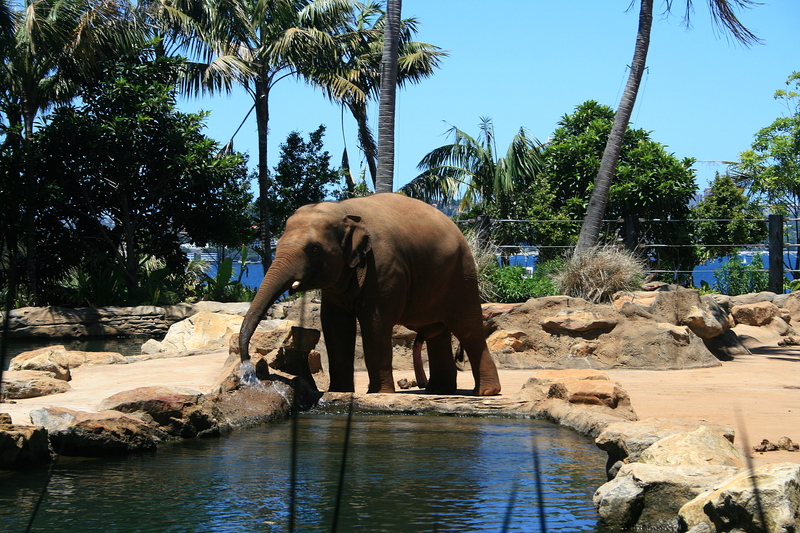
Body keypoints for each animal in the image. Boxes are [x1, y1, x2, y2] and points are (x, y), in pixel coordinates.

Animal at [238, 193, 501, 396]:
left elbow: (374, 323)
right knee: (437, 331)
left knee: (466, 328)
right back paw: (438, 391)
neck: (344, 210)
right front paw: (339, 392)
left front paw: (379, 393)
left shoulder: (383, 266)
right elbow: (335, 325)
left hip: (462, 274)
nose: (249, 367)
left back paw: (486, 392)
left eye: (314, 249)